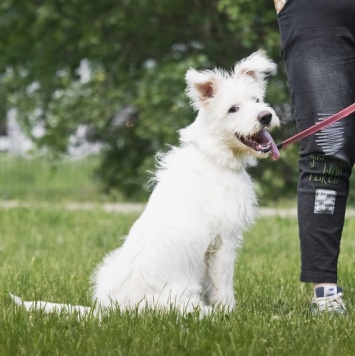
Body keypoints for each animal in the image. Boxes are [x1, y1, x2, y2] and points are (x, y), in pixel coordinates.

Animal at [11, 50, 280, 318]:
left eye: (257, 99)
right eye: (233, 108)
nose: (266, 116)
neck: (212, 155)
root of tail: (113, 310)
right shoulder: (223, 243)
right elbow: (223, 288)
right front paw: (231, 314)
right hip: (184, 302)